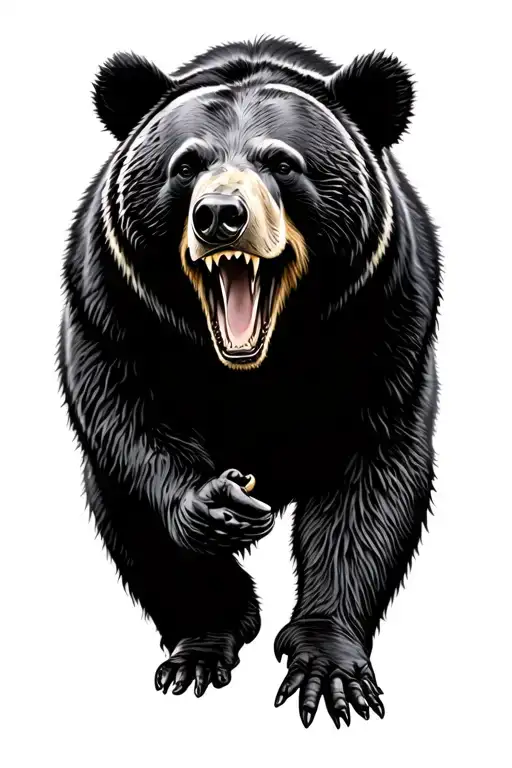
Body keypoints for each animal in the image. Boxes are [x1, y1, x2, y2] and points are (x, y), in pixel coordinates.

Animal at [58, 36, 440, 729]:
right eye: (186, 165)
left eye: (282, 163)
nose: (220, 216)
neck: (255, 364)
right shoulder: (112, 303)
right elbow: (128, 419)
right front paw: (217, 505)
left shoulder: (382, 317)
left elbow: (370, 482)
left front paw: (329, 671)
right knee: (126, 515)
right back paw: (203, 644)